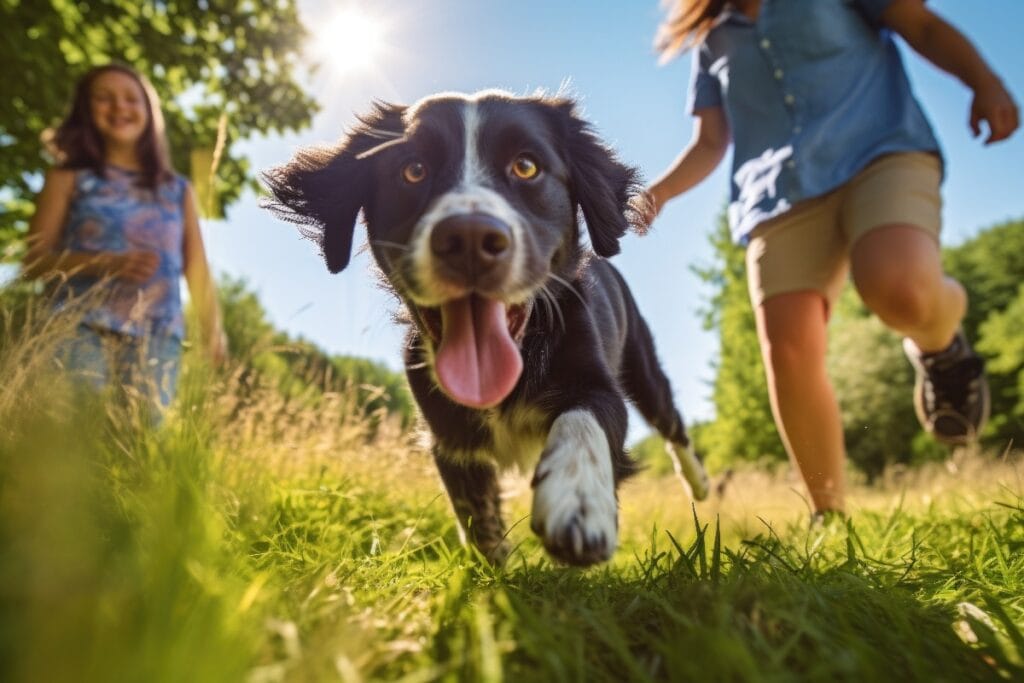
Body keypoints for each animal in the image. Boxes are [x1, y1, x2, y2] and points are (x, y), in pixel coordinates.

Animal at [264, 89, 708, 565]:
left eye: (526, 166)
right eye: (413, 169)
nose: (470, 238)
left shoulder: (596, 383)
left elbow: (582, 421)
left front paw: (577, 504)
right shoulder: (448, 436)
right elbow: (475, 512)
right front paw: (493, 568)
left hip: (643, 366)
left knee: (672, 424)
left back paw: (700, 484)